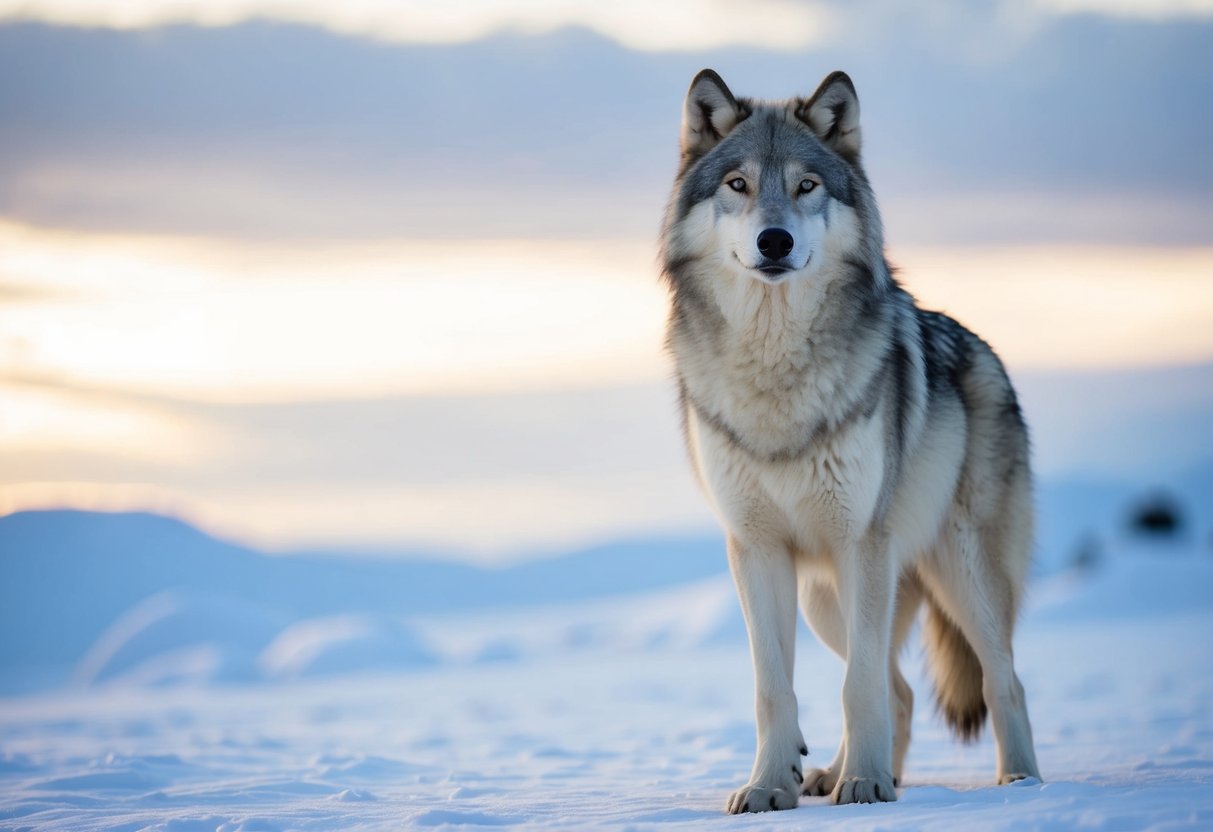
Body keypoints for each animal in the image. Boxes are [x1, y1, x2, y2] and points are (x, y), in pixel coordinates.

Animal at [660, 69, 1042, 813]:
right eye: (738, 184)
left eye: (807, 185)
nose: (774, 241)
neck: (774, 373)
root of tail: (986, 352)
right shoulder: (755, 550)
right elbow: (774, 690)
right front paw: (769, 786)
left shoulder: (859, 541)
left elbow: (856, 687)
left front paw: (865, 784)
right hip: (824, 600)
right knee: (901, 690)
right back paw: (830, 775)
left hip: (958, 573)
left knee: (999, 679)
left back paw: (1019, 784)